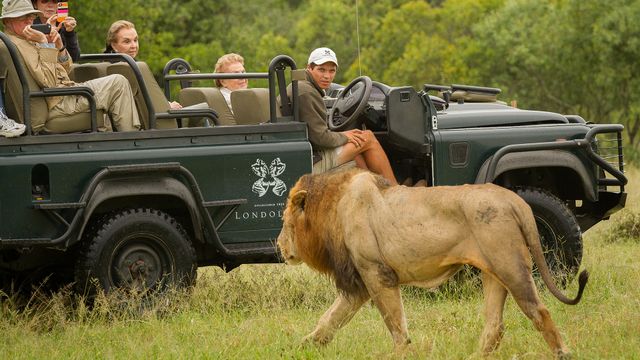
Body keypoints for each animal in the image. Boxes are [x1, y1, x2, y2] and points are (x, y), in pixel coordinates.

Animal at [278, 169, 588, 358]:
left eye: (285, 221)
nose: (279, 246)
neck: (335, 206)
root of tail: (515, 201)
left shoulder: (377, 273)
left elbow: (395, 324)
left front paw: (400, 354)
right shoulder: (360, 282)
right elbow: (329, 319)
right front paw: (302, 347)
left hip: (511, 266)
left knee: (540, 312)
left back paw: (564, 354)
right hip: (494, 272)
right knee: (495, 325)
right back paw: (473, 357)